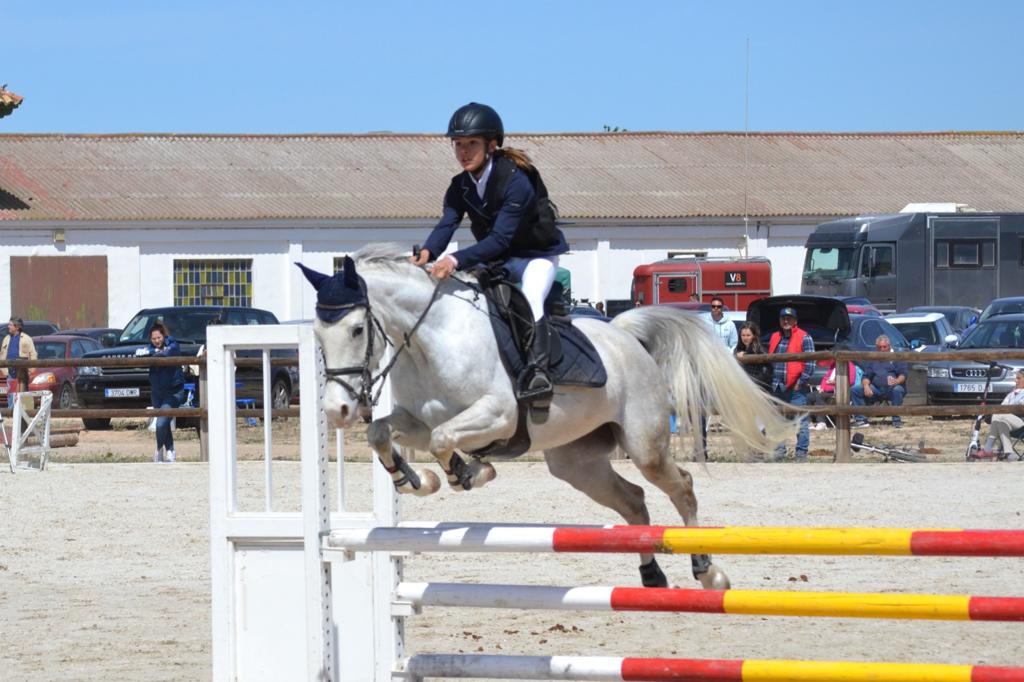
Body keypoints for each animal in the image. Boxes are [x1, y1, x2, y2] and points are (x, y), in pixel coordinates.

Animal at [299, 241, 794, 585]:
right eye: (318, 336)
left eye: (357, 329)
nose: (337, 410)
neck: (430, 337)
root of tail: (626, 335)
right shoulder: (417, 421)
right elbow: (383, 434)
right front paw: (417, 481)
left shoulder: (497, 415)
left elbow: (445, 441)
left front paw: (471, 472)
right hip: (575, 462)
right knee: (634, 501)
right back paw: (651, 575)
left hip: (645, 444)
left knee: (683, 488)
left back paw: (707, 570)